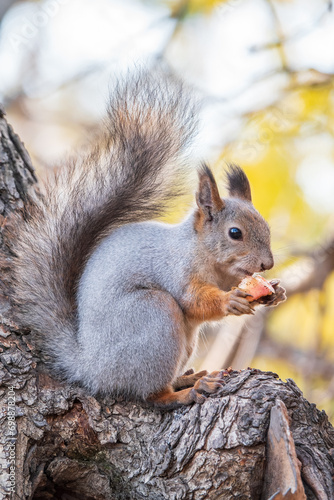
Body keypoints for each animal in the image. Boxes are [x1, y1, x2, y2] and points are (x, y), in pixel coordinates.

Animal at [1, 68, 286, 408]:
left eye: (266, 227)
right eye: (235, 233)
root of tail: (91, 368)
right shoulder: (176, 271)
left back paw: (187, 378)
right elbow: (194, 301)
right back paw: (187, 391)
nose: (267, 264)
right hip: (155, 318)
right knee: (152, 394)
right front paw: (229, 300)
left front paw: (275, 292)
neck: (207, 258)